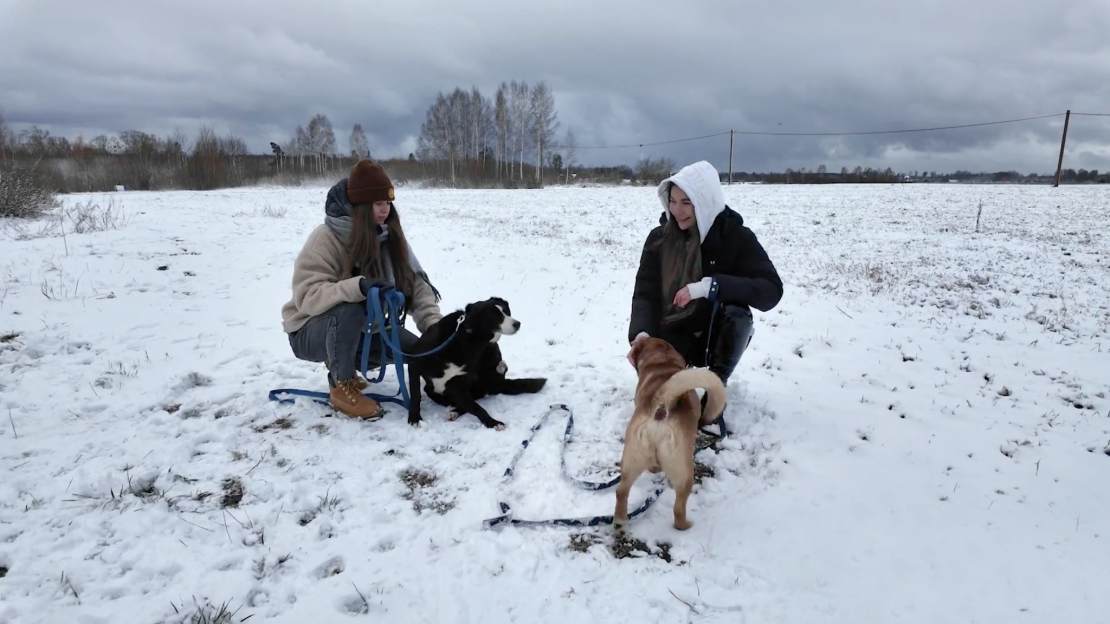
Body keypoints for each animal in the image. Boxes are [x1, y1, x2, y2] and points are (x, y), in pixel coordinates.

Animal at [408, 295, 546, 426]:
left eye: (507, 312)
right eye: (496, 316)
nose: (517, 324)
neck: (468, 338)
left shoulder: (458, 384)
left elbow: (477, 408)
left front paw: (492, 422)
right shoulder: (414, 364)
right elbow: (415, 395)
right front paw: (414, 418)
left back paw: (454, 412)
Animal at [617, 337, 728, 526]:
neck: (663, 361)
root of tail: (663, 403)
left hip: (632, 459)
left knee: (621, 491)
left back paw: (620, 521)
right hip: (684, 471)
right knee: (678, 507)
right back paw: (685, 525)